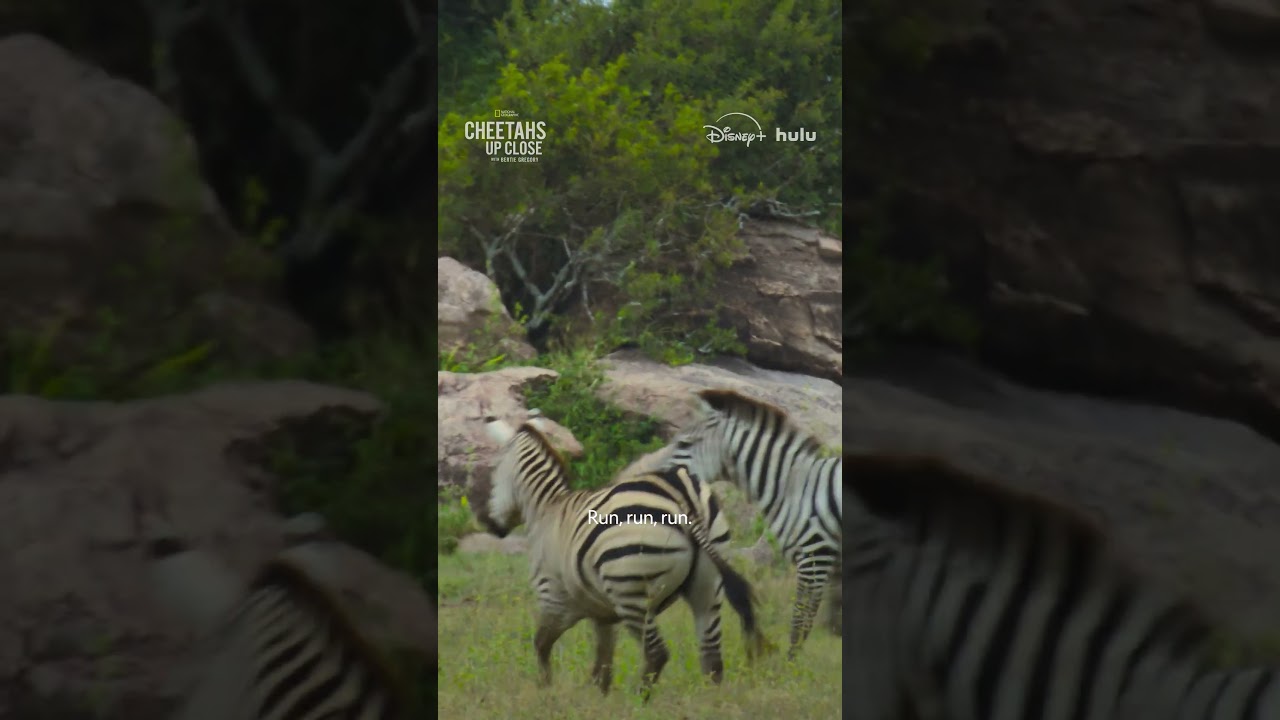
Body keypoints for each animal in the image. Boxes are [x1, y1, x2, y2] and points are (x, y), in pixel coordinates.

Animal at [472, 413, 772, 700]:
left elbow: (542, 645)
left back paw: (640, 702)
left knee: (657, 654)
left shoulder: (555, 599)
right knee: (711, 658)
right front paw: (599, 702)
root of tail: (682, 493)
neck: (547, 510)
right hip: (707, 586)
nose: (489, 525)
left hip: (632, 592)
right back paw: (711, 702)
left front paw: (546, 692)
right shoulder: (603, 613)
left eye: (493, 473)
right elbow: (602, 666)